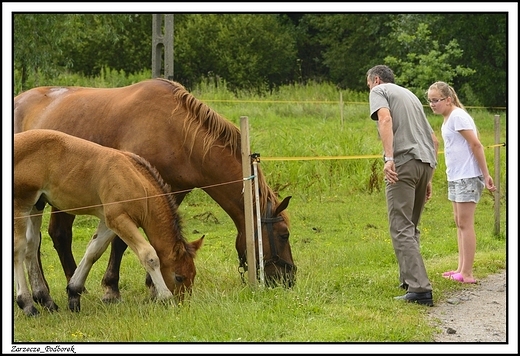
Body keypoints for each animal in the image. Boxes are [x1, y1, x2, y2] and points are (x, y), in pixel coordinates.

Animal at [13, 129, 202, 316]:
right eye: (179, 277)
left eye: (193, 275)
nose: (183, 303)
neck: (136, 181)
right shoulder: (119, 219)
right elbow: (149, 255)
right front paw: (166, 297)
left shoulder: (108, 222)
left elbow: (93, 251)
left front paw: (74, 293)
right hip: (20, 205)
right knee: (19, 249)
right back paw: (28, 305)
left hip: (36, 205)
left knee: (32, 245)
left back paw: (46, 300)